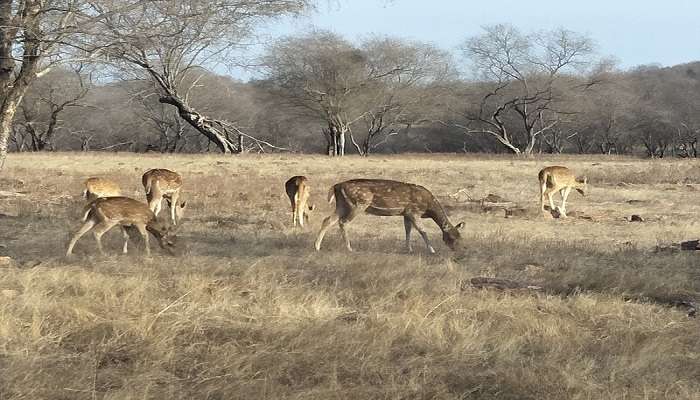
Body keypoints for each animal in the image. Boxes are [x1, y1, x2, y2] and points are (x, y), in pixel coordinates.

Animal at [314, 180, 462, 255]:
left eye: (460, 237)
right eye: (451, 237)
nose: (457, 250)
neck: (428, 208)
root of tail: (336, 186)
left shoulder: (406, 213)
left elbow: (408, 230)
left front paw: (409, 249)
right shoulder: (414, 211)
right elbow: (422, 230)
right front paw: (432, 250)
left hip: (342, 204)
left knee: (328, 220)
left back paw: (317, 246)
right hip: (358, 203)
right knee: (343, 222)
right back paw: (349, 248)